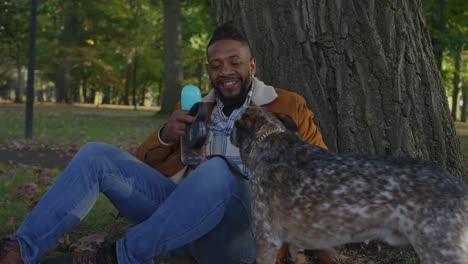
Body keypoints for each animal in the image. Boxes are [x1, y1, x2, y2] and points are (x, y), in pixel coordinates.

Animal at [229, 106, 468, 264]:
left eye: (235, 122)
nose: (229, 130)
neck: (269, 140)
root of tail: (457, 185)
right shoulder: (294, 242)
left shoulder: (267, 238)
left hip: (440, 250)